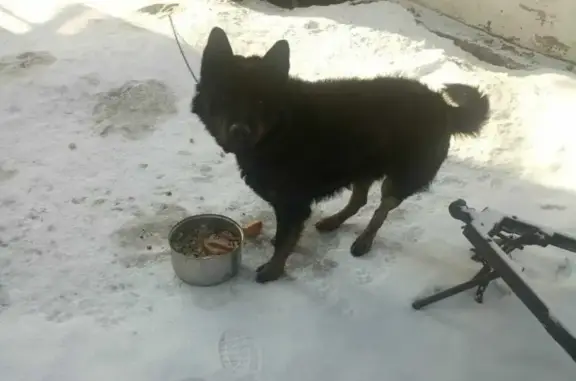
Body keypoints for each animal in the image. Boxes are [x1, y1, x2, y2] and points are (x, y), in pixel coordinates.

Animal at [191, 27, 488, 282]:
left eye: (261, 101)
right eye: (225, 98)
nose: (240, 132)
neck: (279, 131)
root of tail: (443, 106)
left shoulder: (293, 203)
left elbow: (285, 241)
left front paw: (273, 270)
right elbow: (285, 234)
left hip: (400, 177)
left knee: (382, 208)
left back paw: (364, 240)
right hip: (362, 162)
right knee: (359, 199)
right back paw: (334, 221)